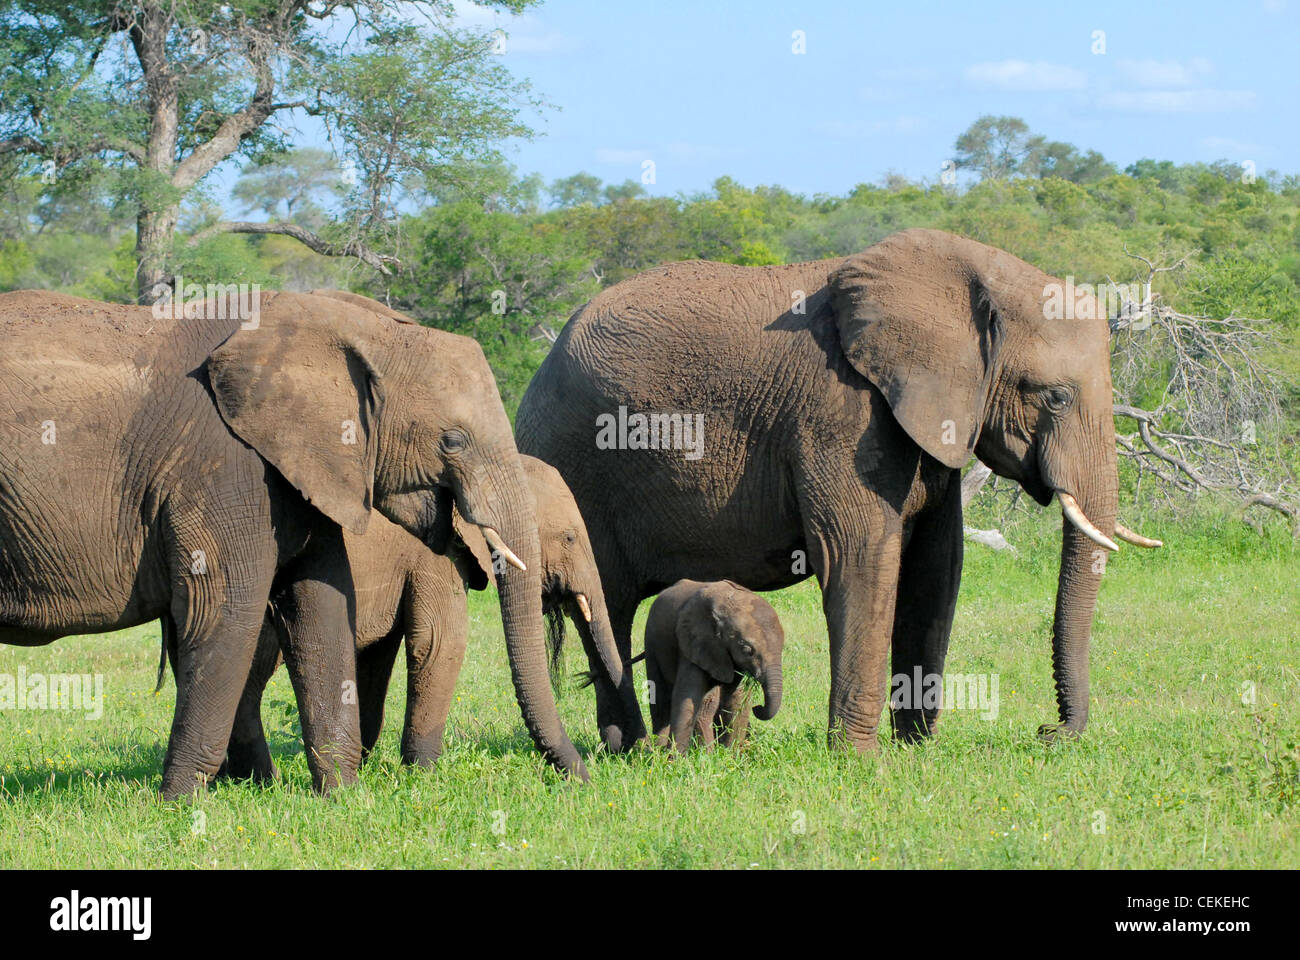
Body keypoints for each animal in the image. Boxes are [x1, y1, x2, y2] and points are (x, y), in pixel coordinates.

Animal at [0, 288, 584, 799]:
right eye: (453, 441)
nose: (581, 774)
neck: (345, 323)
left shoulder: (305, 468)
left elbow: (321, 605)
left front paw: (345, 799)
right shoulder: (222, 466)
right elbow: (224, 611)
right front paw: (177, 807)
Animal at [210, 453, 645, 780]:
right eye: (569, 538)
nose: (584, 778)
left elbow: (376, 657)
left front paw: (367, 764)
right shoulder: (435, 556)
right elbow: (439, 642)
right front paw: (422, 775)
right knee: (251, 671)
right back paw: (259, 780)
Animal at [637, 579, 784, 754]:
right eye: (747, 650)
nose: (758, 707)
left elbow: (736, 699)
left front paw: (729, 755)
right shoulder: (694, 644)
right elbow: (692, 699)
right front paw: (680, 758)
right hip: (652, 643)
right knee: (661, 699)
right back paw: (657, 751)